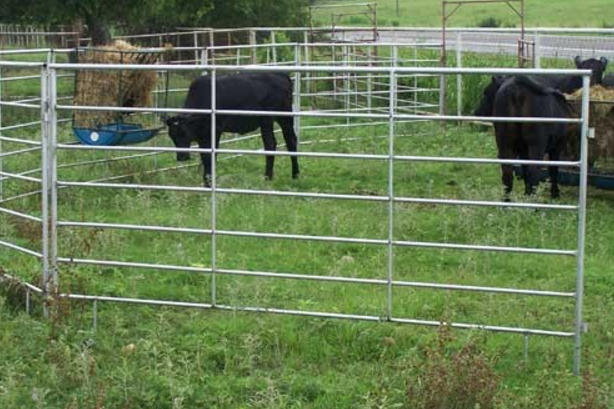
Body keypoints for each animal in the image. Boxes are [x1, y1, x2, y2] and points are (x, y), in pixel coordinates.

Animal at [166, 73, 300, 185]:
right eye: (172, 136)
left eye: (184, 133)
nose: (181, 157)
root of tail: (280, 75)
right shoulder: (202, 136)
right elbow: (205, 158)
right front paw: (206, 182)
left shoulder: (215, 131)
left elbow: (210, 158)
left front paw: (209, 183)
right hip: (268, 121)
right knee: (273, 143)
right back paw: (271, 177)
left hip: (281, 117)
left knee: (288, 141)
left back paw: (293, 175)